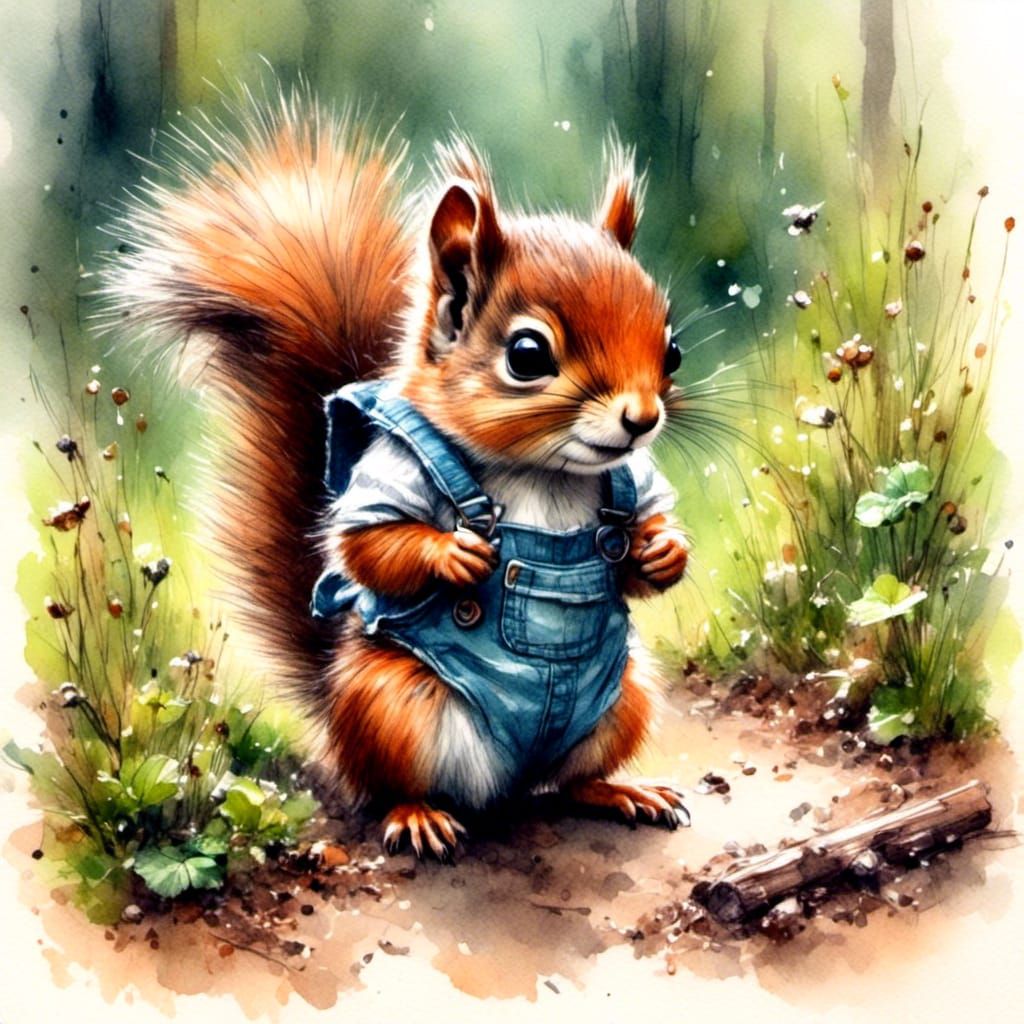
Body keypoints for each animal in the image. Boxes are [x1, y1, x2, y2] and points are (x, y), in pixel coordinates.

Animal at [103, 91, 691, 860]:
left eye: (672, 349)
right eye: (527, 355)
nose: (642, 419)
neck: (547, 478)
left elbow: (635, 549)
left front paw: (664, 549)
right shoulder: (393, 473)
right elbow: (368, 545)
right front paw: (454, 554)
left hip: (624, 697)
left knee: (566, 782)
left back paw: (620, 789)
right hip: (392, 705)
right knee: (391, 786)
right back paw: (417, 814)